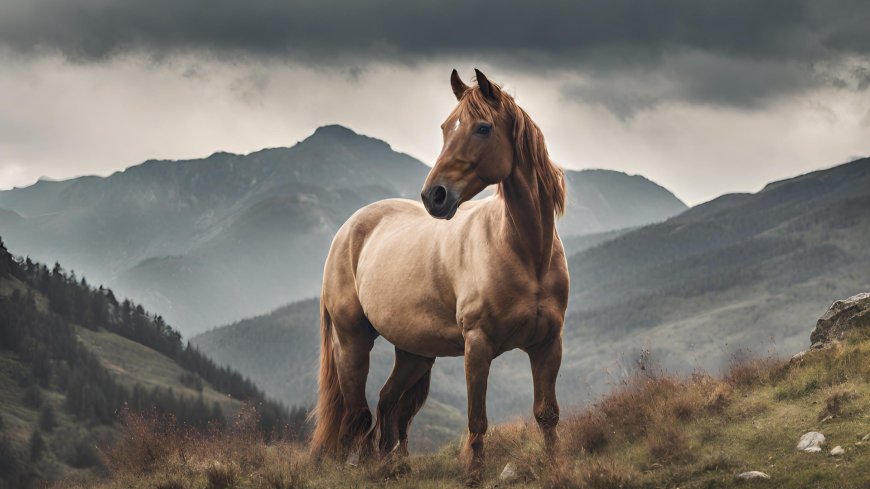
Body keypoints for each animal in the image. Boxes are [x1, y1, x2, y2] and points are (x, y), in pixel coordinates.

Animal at [314, 68, 572, 484]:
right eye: (445, 127)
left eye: (482, 127)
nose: (433, 196)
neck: (525, 252)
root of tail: (347, 229)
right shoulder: (477, 344)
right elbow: (477, 421)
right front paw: (473, 475)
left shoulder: (549, 342)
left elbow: (547, 414)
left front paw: (555, 468)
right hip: (352, 340)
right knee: (357, 415)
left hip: (415, 353)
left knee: (387, 404)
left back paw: (391, 465)